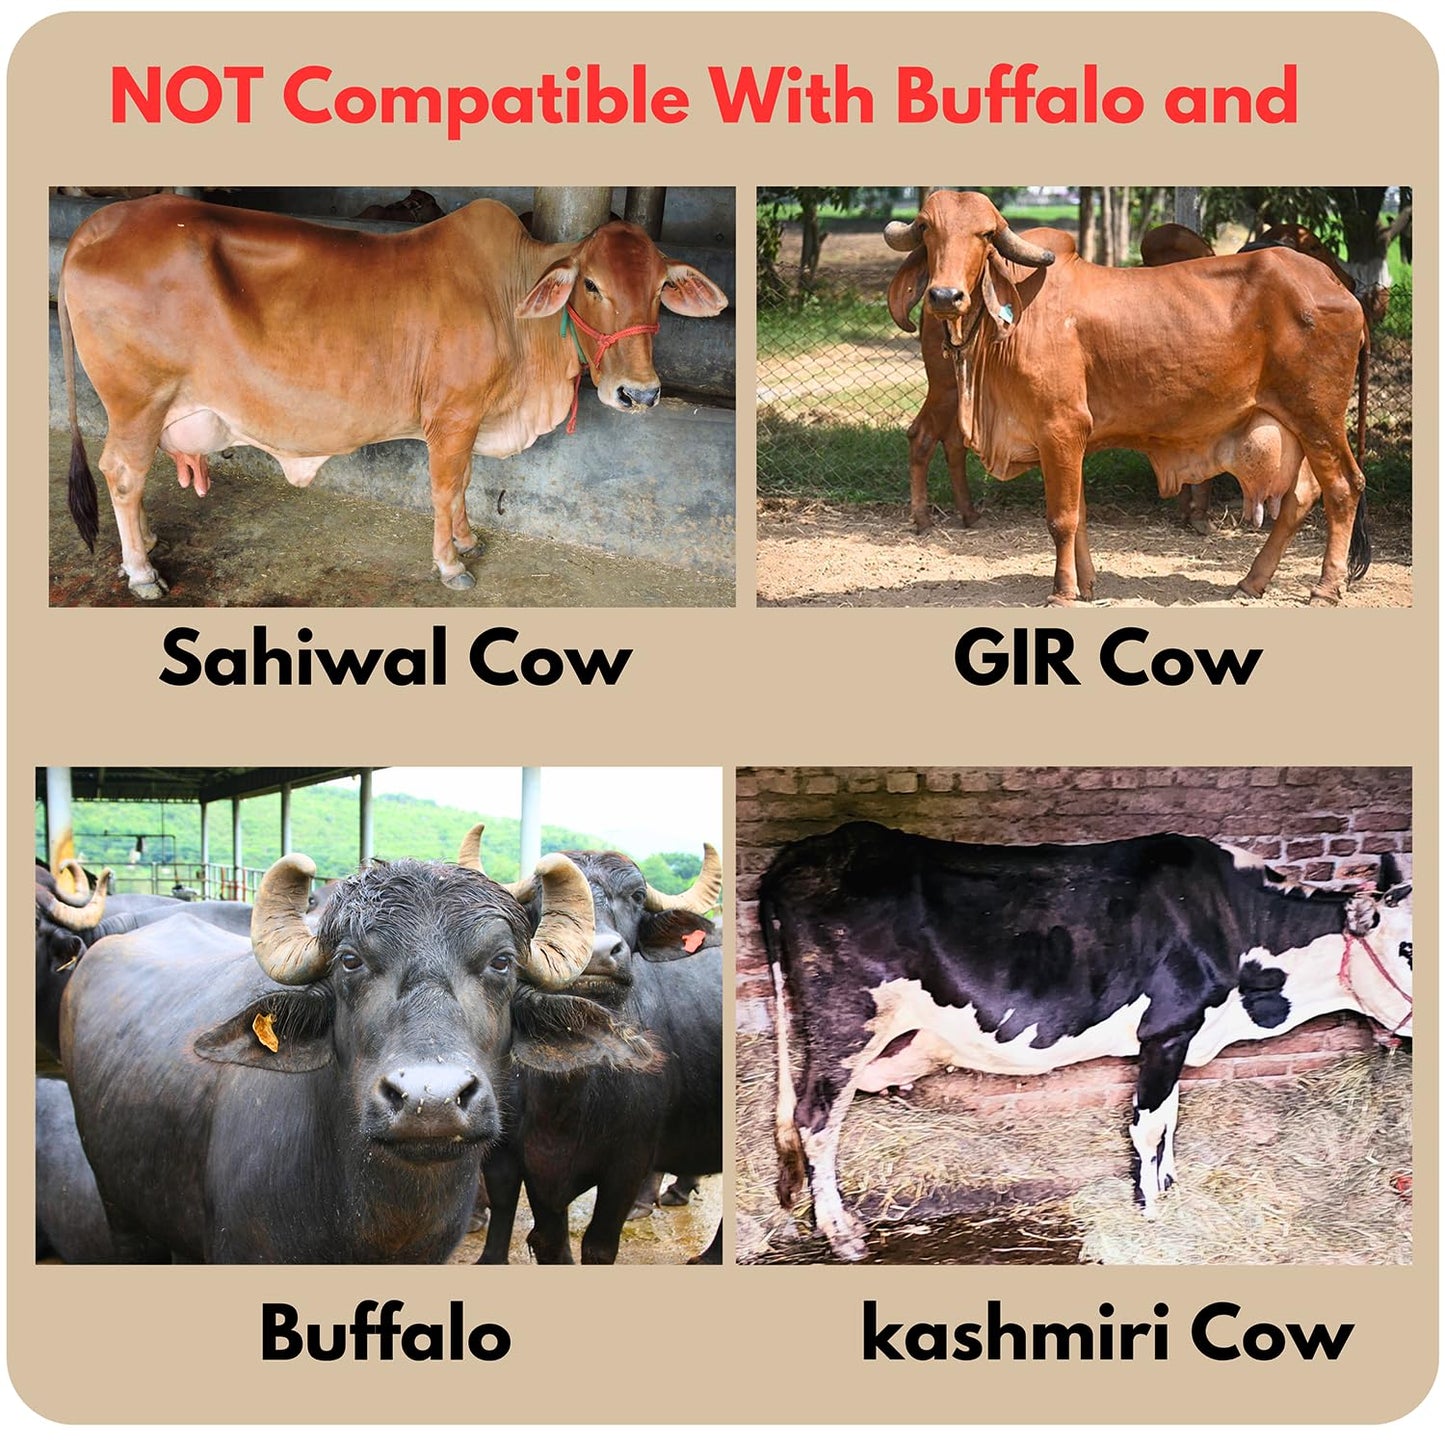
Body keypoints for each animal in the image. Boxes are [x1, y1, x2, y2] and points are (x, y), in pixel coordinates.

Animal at [58, 193, 730, 599]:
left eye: (660, 287)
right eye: (591, 284)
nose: (639, 393)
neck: (510, 300)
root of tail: (97, 225)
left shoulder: (470, 418)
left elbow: (463, 485)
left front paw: (466, 538)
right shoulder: (452, 416)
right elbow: (444, 487)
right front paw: (451, 565)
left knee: (131, 475)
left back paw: (145, 544)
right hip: (138, 400)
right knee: (122, 472)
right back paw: (142, 572)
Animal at [466, 827, 725, 1265]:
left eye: (637, 896)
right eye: (543, 896)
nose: (598, 953)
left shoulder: (627, 1165)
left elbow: (599, 1246)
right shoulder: (533, 1166)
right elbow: (551, 1242)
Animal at [760, 821, 1413, 1261]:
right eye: (1407, 947)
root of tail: (810, 850)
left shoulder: (1176, 1036)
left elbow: (1169, 1116)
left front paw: (1167, 1186)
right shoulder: (1167, 1027)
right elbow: (1147, 1125)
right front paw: (1150, 1211)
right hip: (847, 1020)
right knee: (816, 1116)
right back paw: (841, 1234)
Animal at [887, 191, 1371, 605]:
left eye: (986, 234)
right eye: (927, 228)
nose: (945, 295)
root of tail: (1342, 289)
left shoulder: (1060, 428)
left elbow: (1061, 519)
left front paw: (1061, 592)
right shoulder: (1066, 440)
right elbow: (1078, 515)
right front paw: (1085, 585)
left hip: (1319, 417)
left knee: (1343, 487)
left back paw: (1326, 589)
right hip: (1295, 424)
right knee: (1302, 497)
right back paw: (1252, 581)